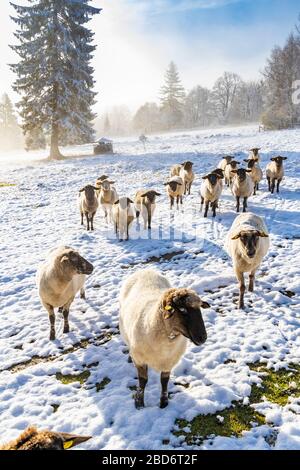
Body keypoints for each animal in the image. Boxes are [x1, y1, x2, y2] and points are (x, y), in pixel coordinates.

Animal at [119, 270, 209, 410]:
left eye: (200, 308)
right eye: (182, 309)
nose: (203, 337)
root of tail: (146, 270)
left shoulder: (169, 361)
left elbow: (164, 381)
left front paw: (164, 402)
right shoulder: (140, 359)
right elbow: (143, 380)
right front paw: (139, 403)